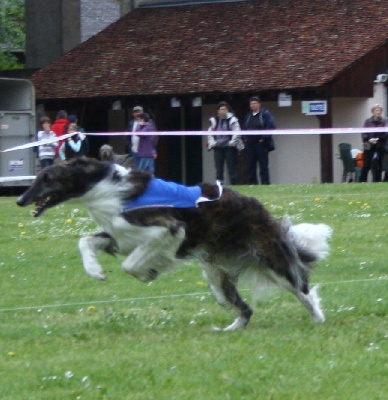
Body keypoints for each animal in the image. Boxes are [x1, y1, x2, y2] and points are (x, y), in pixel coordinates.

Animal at [16, 158, 332, 330]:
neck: (105, 189)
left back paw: (318, 318)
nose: (19, 200)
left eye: (46, 178)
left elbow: (131, 265)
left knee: (303, 289)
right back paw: (230, 329)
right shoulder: (119, 234)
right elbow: (85, 241)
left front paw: (147, 272)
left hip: (270, 258)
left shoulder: (167, 229)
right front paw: (95, 270)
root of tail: (257, 206)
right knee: (245, 309)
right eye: (38, 178)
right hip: (215, 277)